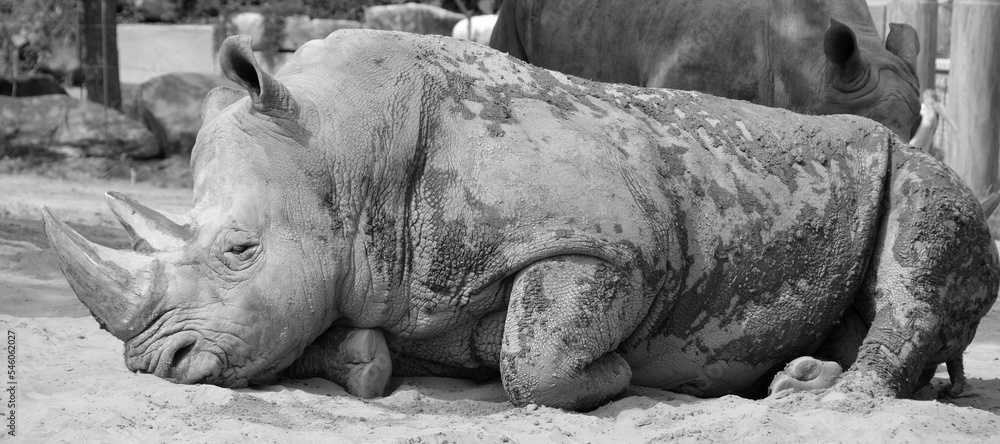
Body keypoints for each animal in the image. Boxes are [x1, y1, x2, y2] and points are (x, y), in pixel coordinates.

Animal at [42, 30, 998, 411]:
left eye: (240, 250)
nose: (153, 363)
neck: (346, 144)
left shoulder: (612, 248)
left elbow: (531, 360)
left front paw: (619, 376)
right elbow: (332, 330)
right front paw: (360, 359)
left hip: (921, 168)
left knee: (921, 225)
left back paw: (821, 396)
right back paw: (804, 377)